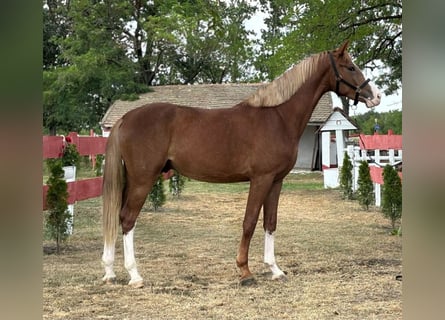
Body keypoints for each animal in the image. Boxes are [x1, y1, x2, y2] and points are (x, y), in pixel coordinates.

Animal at [102, 41, 380, 288]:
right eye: (350, 67)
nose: (375, 96)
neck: (278, 116)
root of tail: (125, 118)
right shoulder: (261, 179)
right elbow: (249, 222)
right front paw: (245, 271)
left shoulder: (276, 181)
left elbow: (270, 222)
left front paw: (275, 269)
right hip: (143, 179)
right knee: (127, 219)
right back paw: (134, 275)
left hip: (132, 180)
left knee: (117, 216)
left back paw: (110, 271)